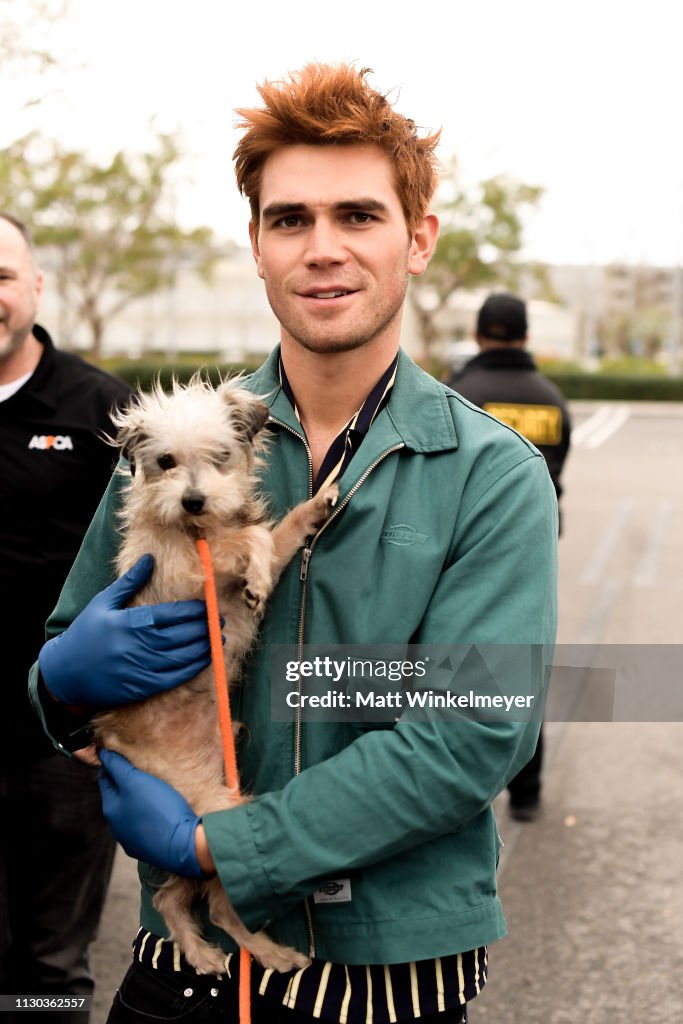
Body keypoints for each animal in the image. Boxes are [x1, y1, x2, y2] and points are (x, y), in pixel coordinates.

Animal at [90, 376, 335, 974]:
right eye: (165, 462)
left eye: (221, 457)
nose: (193, 500)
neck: (197, 529)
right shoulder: (185, 574)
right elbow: (249, 542)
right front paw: (253, 576)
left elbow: (278, 534)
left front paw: (314, 507)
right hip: (213, 817)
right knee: (216, 906)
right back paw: (266, 953)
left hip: (192, 836)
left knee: (172, 897)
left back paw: (201, 953)